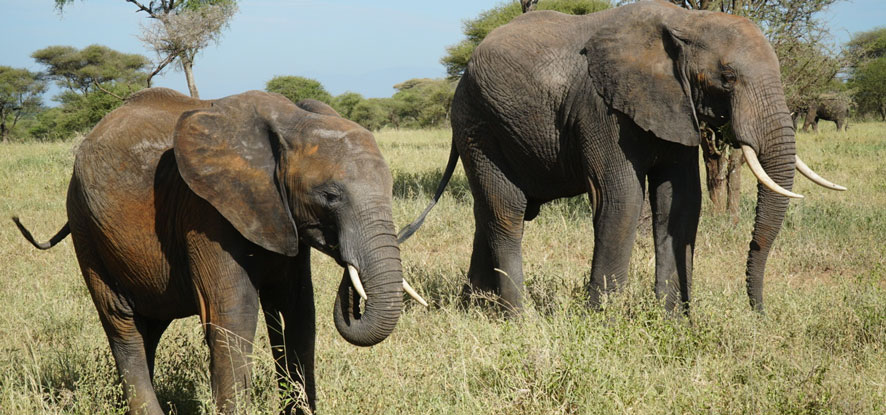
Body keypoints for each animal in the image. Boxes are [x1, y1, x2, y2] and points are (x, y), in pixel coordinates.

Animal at [12, 88, 428, 415]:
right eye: (330, 195)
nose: (348, 266)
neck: (290, 123)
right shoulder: (206, 211)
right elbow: (234, 315)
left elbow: (297, 311)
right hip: (86, 227)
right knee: (122, 323)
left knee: (149, 328)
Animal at [398, 0, 848, 316]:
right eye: (728, 77)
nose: (759, 313)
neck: (687, 22)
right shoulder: (600, 108)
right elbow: (621, 199)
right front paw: (603, 321)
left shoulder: (675, 106)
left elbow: (681, 203)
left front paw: (674, 322)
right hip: (479, 126)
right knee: (506, 212)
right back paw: (518, 319)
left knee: (488, 213)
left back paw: (474, 308)